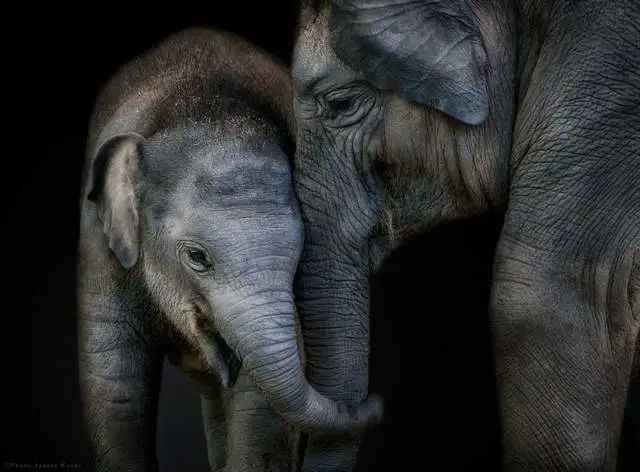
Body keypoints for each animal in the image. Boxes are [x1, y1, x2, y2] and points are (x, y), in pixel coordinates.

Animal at [77, 28, 380, 472]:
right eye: (197, 258)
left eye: (299, 260)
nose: (374, 405)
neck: (200, 107)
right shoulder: (98, 244)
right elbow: (115, 386)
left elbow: (256, 405)